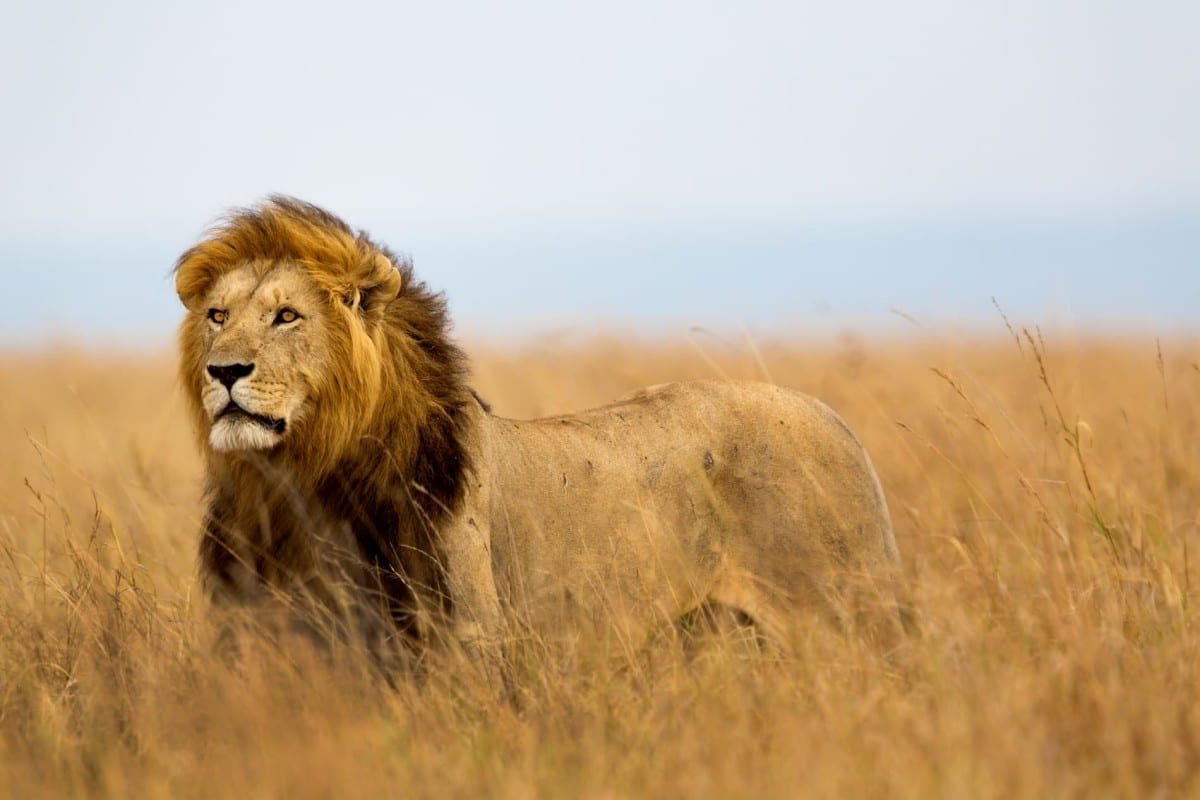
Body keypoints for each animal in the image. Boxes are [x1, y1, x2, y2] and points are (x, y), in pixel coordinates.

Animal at [175, 196, 900, 665]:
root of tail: (836, 420)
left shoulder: (464, 639)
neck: (297, 480)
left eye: (287, 316)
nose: (224, 371)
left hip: (844, 618)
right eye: (217, 315)